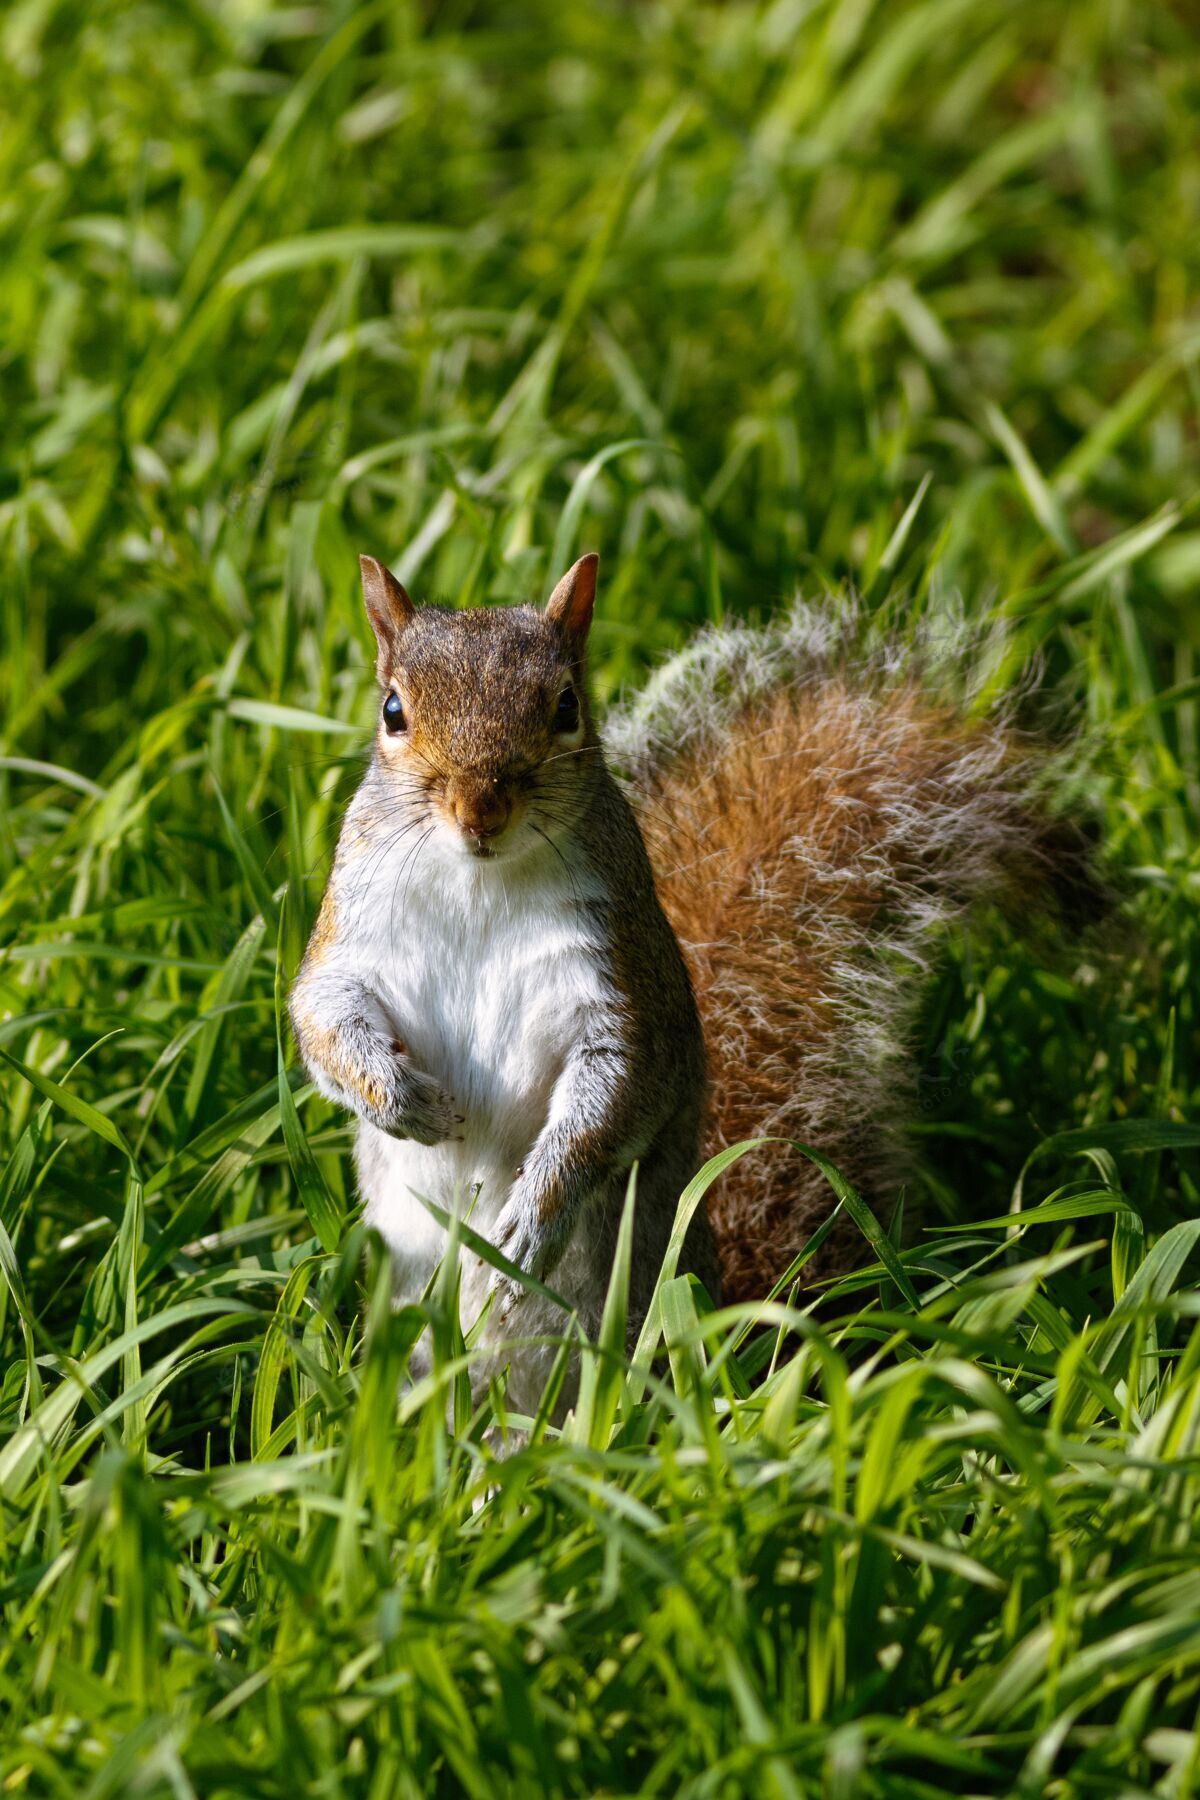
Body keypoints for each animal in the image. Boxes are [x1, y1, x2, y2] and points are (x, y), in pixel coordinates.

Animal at [291, 547, 1101, 1404]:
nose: (481, 811)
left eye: (566, 706)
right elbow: (322, 1016)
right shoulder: (352, 936)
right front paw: (402, 1099)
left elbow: (613, 1100)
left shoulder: (618, 983)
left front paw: (533, 1219)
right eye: (392, 711)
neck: (479, 877)